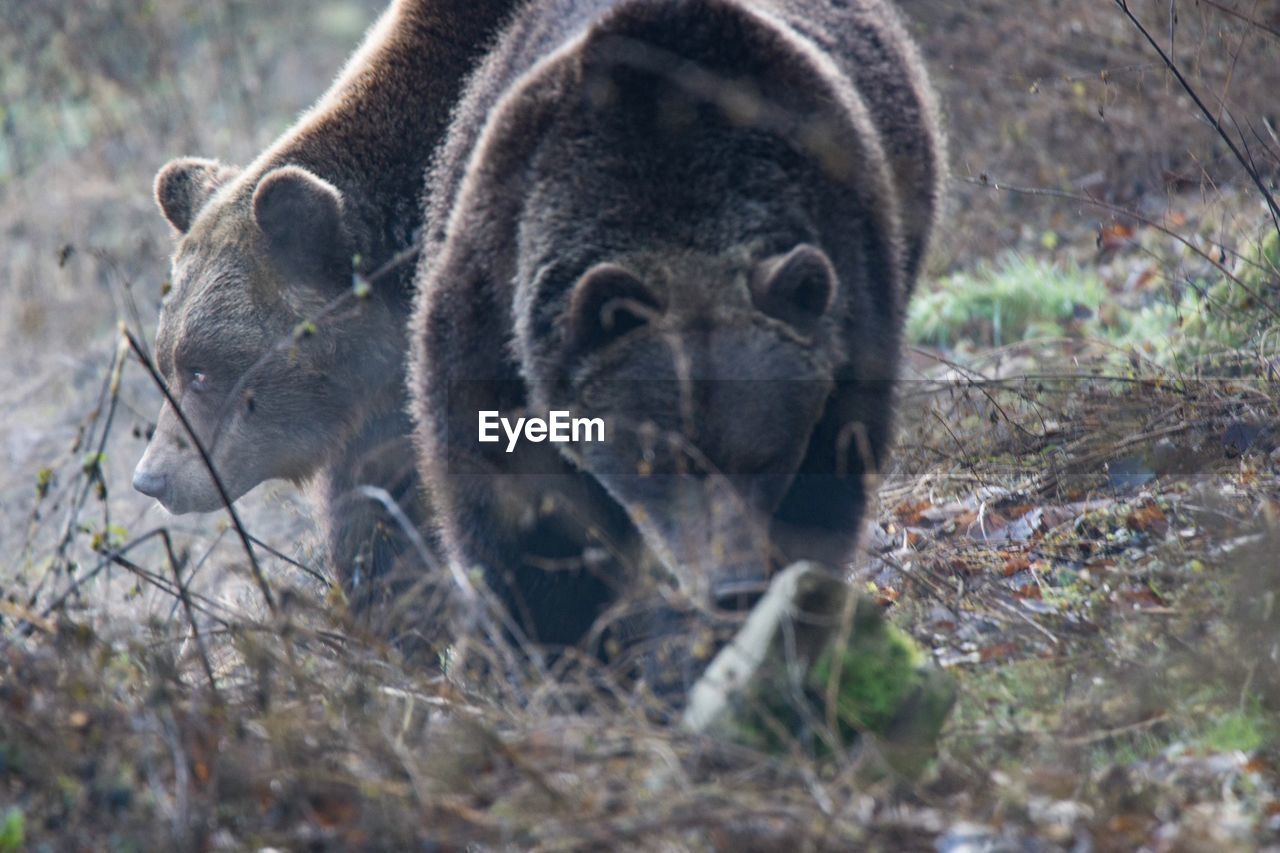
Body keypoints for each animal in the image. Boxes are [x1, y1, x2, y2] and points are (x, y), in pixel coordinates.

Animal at [409, 0, 942, 655]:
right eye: (663, 460)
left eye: (766, 457)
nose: (732, 585)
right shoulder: (497, 291)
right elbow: (514, 490)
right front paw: (550, 635)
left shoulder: (848, 301)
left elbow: (824, 483)